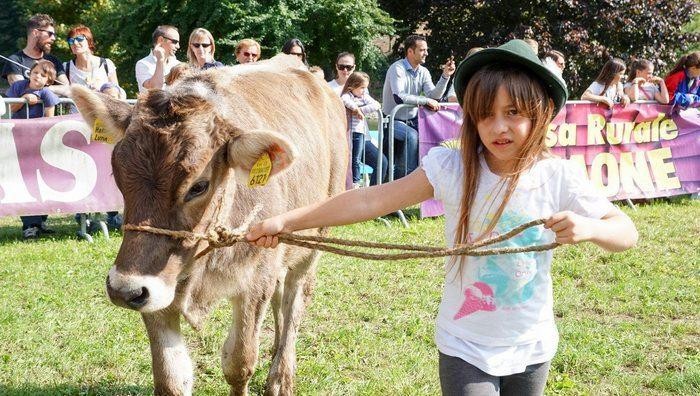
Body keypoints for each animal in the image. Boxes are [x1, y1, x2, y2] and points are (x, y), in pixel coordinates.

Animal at [71, 54, 348, 394]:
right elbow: (172, 378)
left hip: (312, 245)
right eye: (117, 174)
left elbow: (239, 362)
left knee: (295, 300)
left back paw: (281, 376)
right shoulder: (159, 291)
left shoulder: (255, 282)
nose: (126, 289)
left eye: (199, 186)